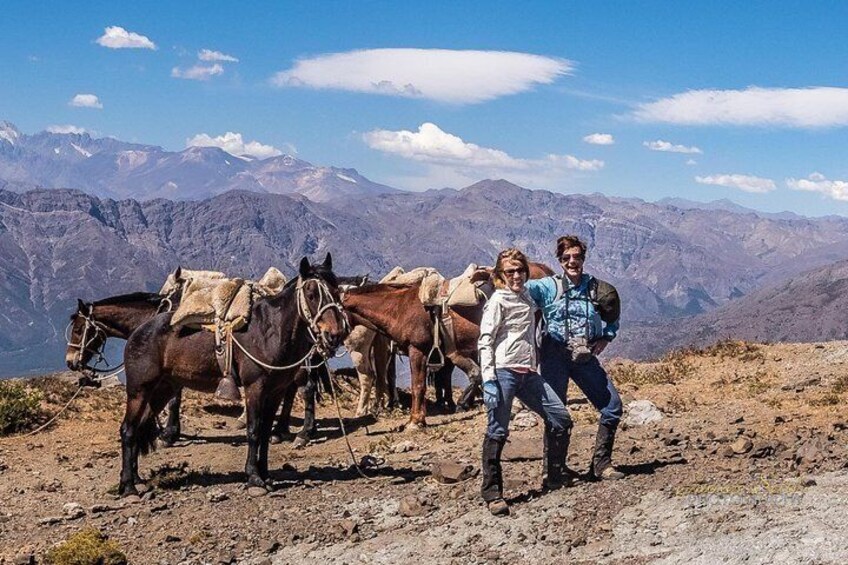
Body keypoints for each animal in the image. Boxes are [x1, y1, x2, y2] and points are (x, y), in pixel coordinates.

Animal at [117, 256, 346, 494]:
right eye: (311, 294)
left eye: (336, 290)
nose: (335, 334)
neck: (269, 331)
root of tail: (137, 332)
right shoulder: (255, 387)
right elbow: (254, 430)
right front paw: (254, 477)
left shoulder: (275, 391)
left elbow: (265, 431)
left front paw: (266, 475)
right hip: (139, 390)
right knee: (128, 429)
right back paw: (128, 486)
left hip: (161, 389)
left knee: (139, 426)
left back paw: (137, 479)